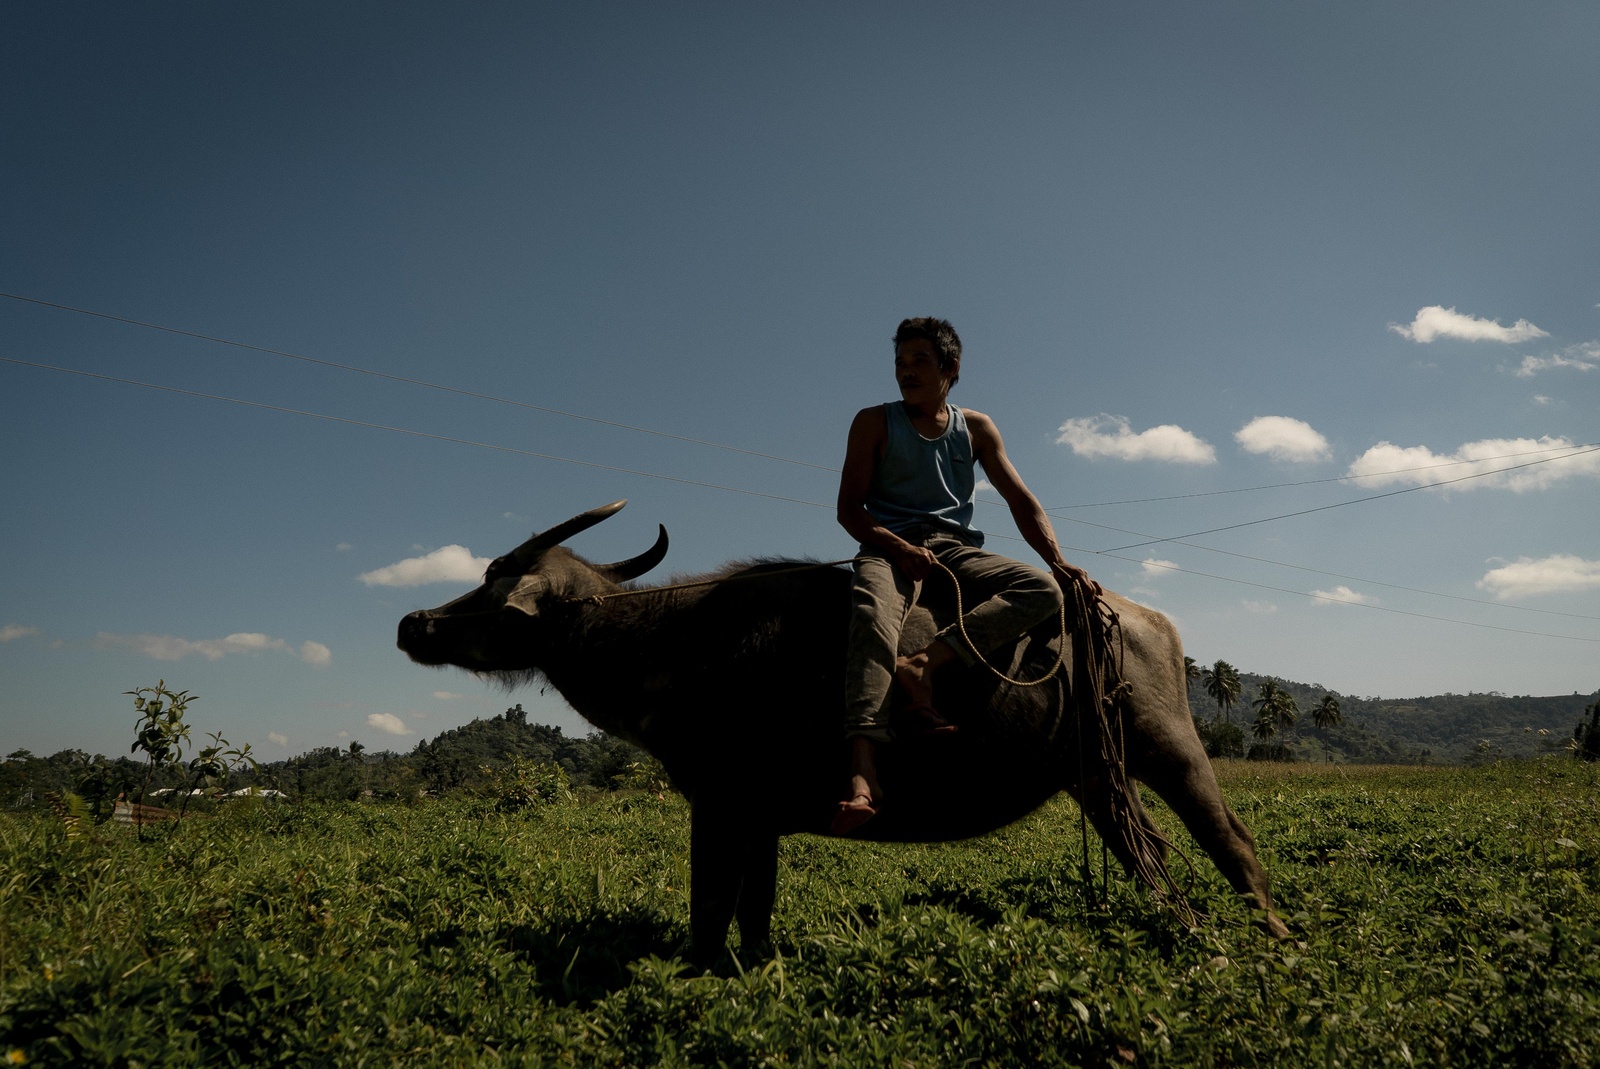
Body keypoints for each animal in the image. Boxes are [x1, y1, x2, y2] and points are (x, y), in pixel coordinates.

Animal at [396, 500, 1289, 963]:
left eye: (495, 581)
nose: (414, 622)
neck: (673, 641)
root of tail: (1141, 617)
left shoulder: (719, 801)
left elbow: (707, 912)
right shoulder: (759, 817)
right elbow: (753, 914)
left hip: (1170, 750)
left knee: (1234, 843)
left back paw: (1272, 939)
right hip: (1097, 776)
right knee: (1151, 856)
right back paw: (1191, 937)